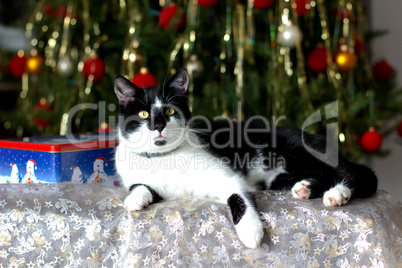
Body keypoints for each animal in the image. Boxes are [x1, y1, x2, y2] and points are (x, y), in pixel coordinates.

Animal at [113, 68, 376, 248]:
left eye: (169, 111)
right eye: (143, 114)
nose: (158, 126)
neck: (162, 158)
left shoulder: (226, 175)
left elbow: (238, 195)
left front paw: (250, 231)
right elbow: (140, 185)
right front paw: (135, 199)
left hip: (298, 150)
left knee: (355, 173)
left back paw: (338, 193)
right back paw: (305, 188)